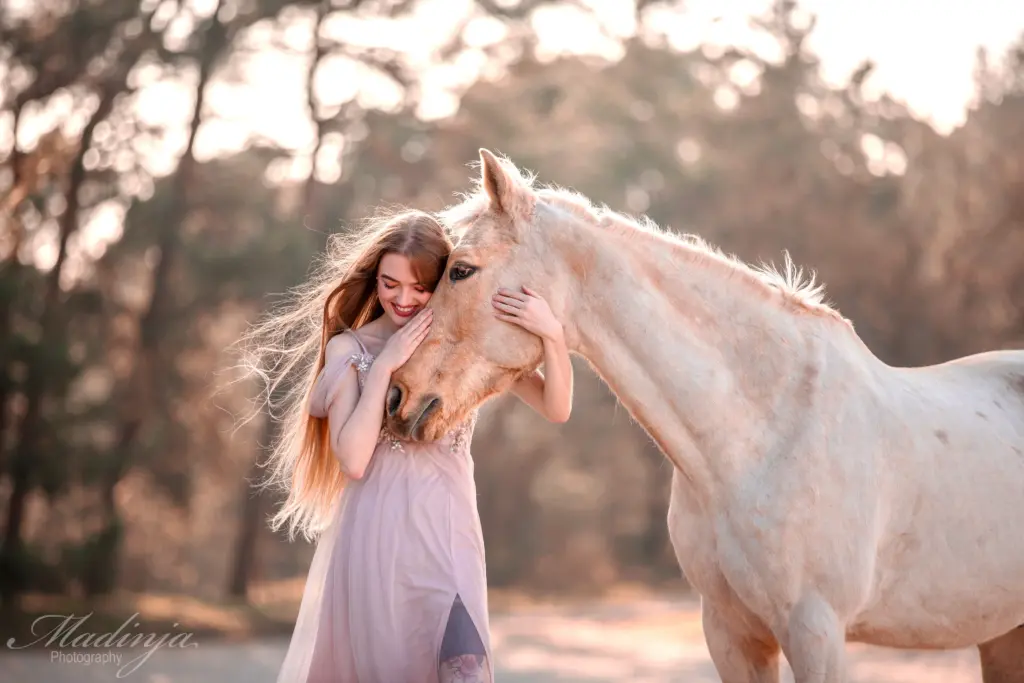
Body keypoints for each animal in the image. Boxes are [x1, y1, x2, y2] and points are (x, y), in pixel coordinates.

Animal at [385, 149, 1024, 683]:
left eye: (462, 269)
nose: (396, 397)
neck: (760, 436)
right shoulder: (730, 632)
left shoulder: (818, 633)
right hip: (1002, 635)